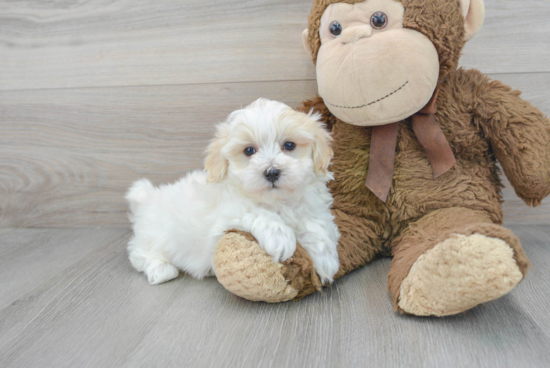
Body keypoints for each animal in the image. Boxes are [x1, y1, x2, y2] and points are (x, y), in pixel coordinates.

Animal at [126, 99, 340, 286]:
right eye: (249, 150)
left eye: (289, 145)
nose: (271, 172)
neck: (277, 201)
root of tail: (148, 198)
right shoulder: (223, 221)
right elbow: (256, 212)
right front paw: (280, 237)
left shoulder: (312, 208)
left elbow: (316, 225)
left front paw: (325, 259)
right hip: (153, 235)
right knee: (139, 254)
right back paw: (160, 269)